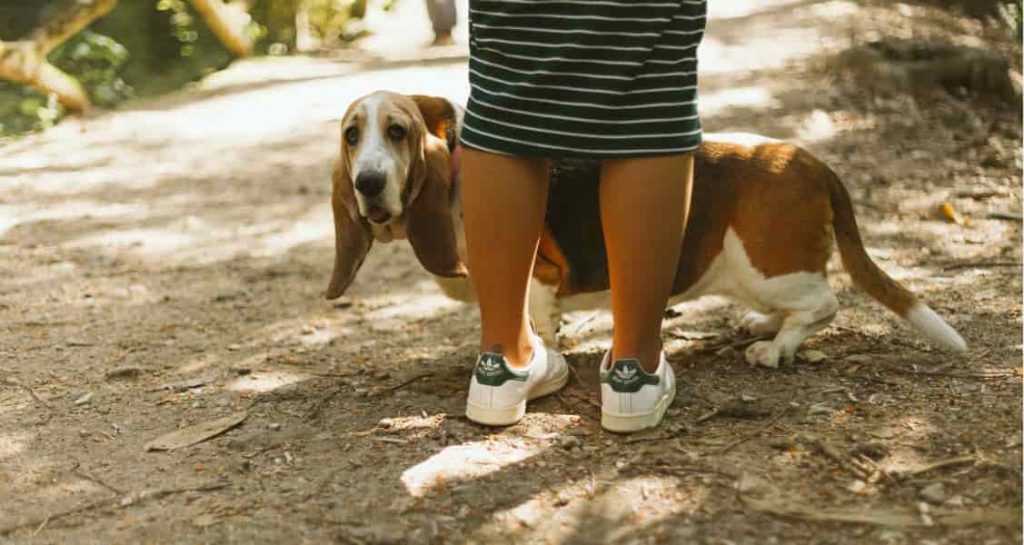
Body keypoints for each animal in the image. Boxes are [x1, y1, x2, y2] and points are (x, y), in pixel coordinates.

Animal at [327, 91, 966, 368]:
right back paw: (765, 326)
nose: (368, 183)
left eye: (399, 132)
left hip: (765, 265)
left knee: (824, 303)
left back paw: (774, 347)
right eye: (352, 135)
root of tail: (809, 160)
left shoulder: (538, 281)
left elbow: (537, 325)